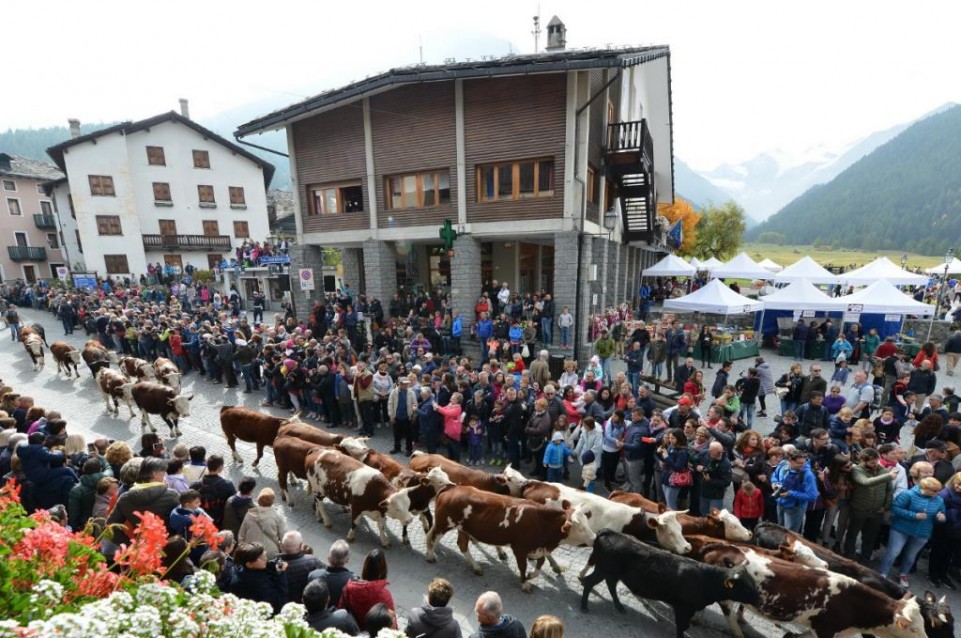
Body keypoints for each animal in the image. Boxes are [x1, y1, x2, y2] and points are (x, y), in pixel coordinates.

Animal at [426, 484, 592, 596]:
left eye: (587, 522)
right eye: (580, 528)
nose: (594, 538)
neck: (542, 522)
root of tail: (452, 487)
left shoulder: (538, 548)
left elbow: (540, 564)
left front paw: (531, 575)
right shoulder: (520, 547)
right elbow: (523, 566)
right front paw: (525, 584)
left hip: (463, 529)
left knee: (461, 545)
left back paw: (476, 567)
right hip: (443, 523)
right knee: (432, 538)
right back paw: (430, 556)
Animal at [576, 528, 756, 638]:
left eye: (752, 584)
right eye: (746, 588)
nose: (758, 599)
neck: (707, 579)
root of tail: (610, 532)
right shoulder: (682, 607)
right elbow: (681, 626)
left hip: (611, 573)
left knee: (610, 585)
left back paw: (619, 607)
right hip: (603, 569)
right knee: (589, 583)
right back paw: (584, 606)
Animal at [692, 544, 928, 638]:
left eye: (924, 624)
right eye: (913, 628)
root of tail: (723, 547)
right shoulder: (826, 630)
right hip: (725, 595)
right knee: (728, 613)